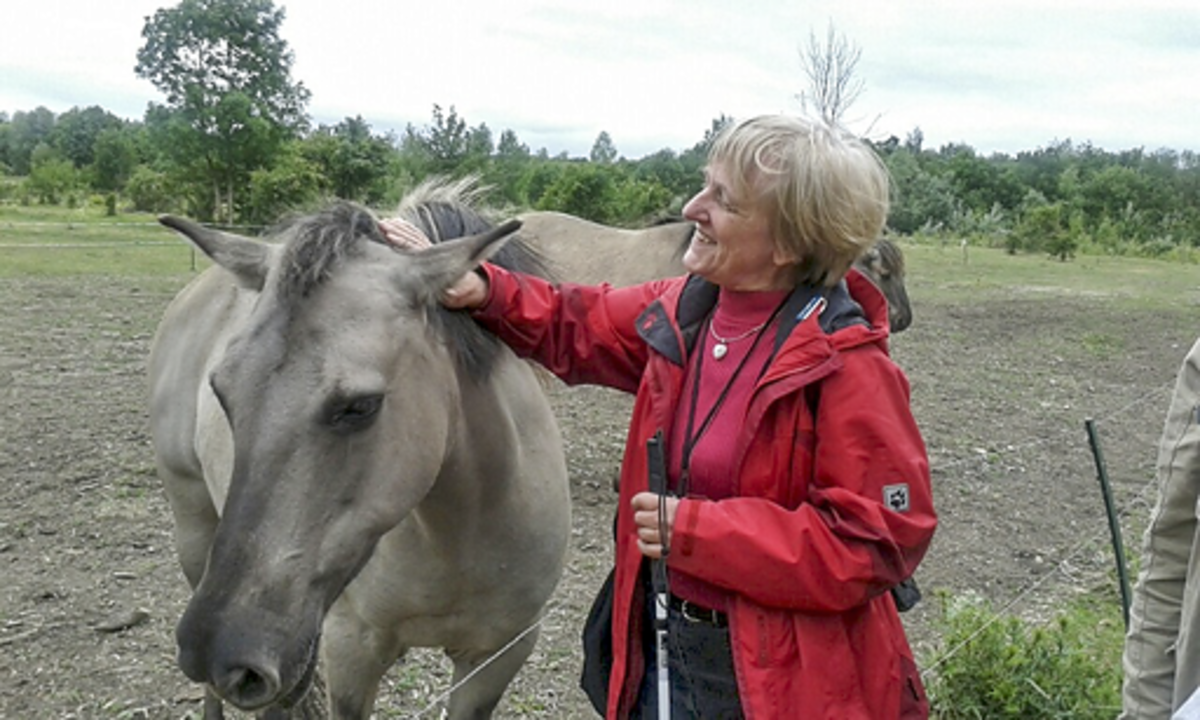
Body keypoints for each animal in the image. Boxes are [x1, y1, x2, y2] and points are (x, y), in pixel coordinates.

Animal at [148, 188, 571, 715]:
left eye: (360, 407)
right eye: (221, 390)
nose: (220, 650)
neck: (461, 534)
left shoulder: (496, 656)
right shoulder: (351, 650)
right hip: (195, 532)